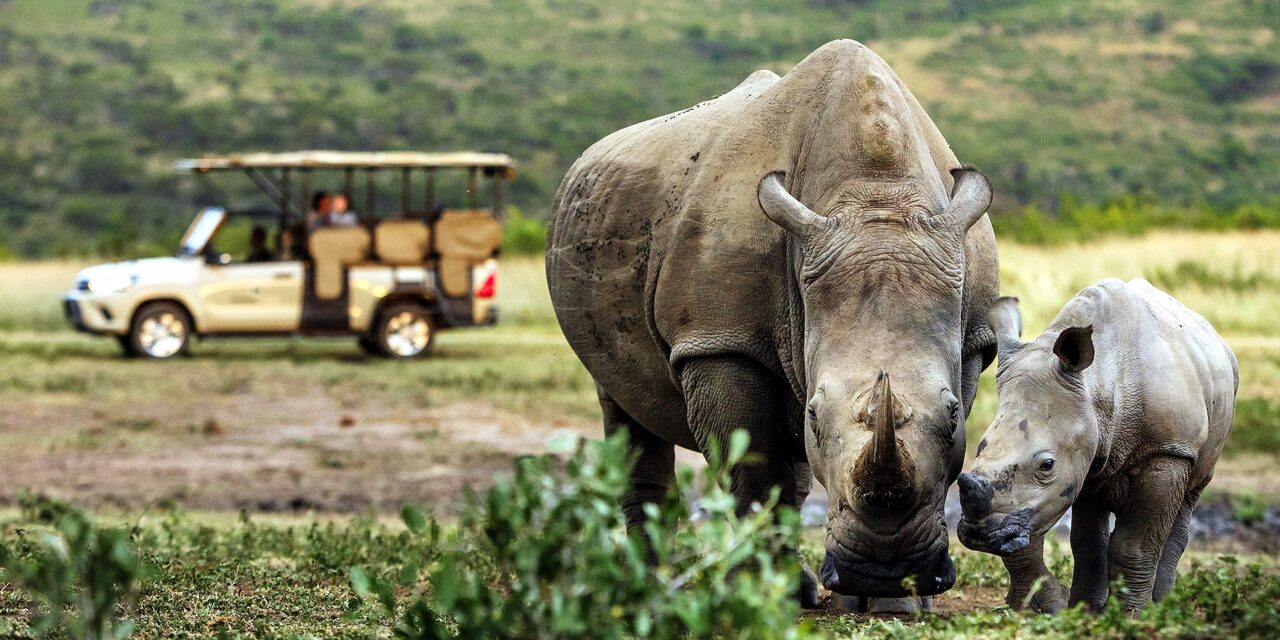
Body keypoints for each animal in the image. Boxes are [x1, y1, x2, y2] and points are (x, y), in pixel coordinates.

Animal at [546, 40, 999, 607]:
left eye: (954, 413)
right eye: (814, 414)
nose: (883, 568)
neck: (877, 200)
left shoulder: (972, 338)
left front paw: (896, 602)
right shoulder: (719, 340)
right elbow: (754, 474)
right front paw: (757, 596)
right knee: (620, 399)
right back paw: (646, 589)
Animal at [957, 279, 1238, 613]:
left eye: (1047, 465)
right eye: (980, 447)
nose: (978, 535)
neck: (1099, 382)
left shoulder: (1167, 450)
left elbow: (1135, 545)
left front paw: (1129, 615)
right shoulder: (1087, 456)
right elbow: (1085, 541)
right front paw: (1084, 611)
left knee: (1191, 494)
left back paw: (1164, 604)